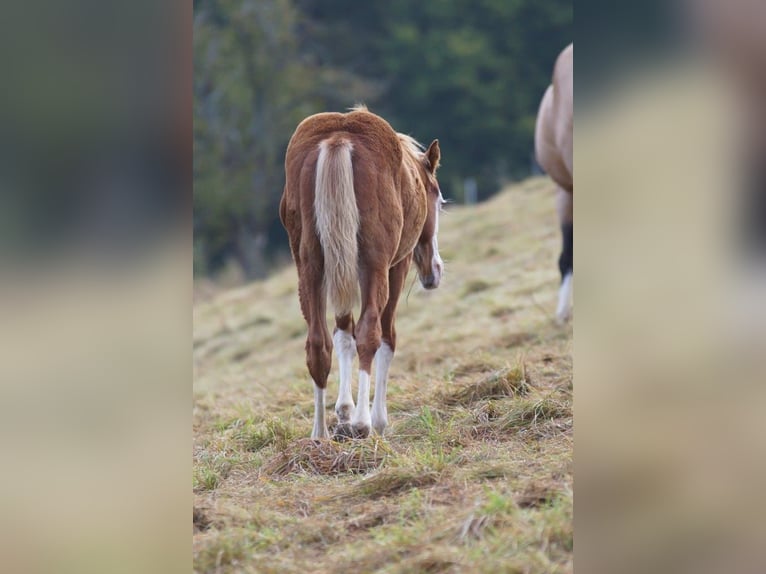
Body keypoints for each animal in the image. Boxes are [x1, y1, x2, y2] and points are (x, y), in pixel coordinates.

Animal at [280, 107, 448, 440]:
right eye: (438, 200)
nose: (434, 271)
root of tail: (338, 139)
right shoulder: (396, 266)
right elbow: (385, 336)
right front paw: (374, 418)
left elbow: (343, 334)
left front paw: (344, 411)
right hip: (375, 267)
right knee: (370, 331)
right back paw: (363, 423)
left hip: (312, 269)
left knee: (318, 344)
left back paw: (320, 433)